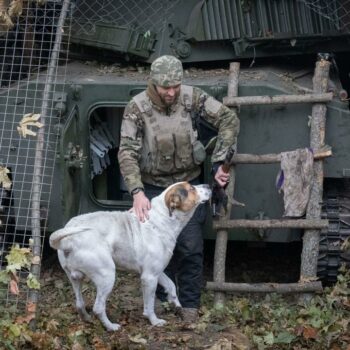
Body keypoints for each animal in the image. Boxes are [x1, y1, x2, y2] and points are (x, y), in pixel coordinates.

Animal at [49, 182, 211, 332]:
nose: (209, 185)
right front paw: (154, 321)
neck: (162, 219)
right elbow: (149, 305)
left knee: (79, 304)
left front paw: (176, 304)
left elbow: (171, 285)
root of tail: (69, 240)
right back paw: (111, 327)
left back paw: (87, 319)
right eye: (191, 189)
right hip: (107, 276)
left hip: (75, 278)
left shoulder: (155, 271)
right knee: (98, 308)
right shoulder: (149, 277)